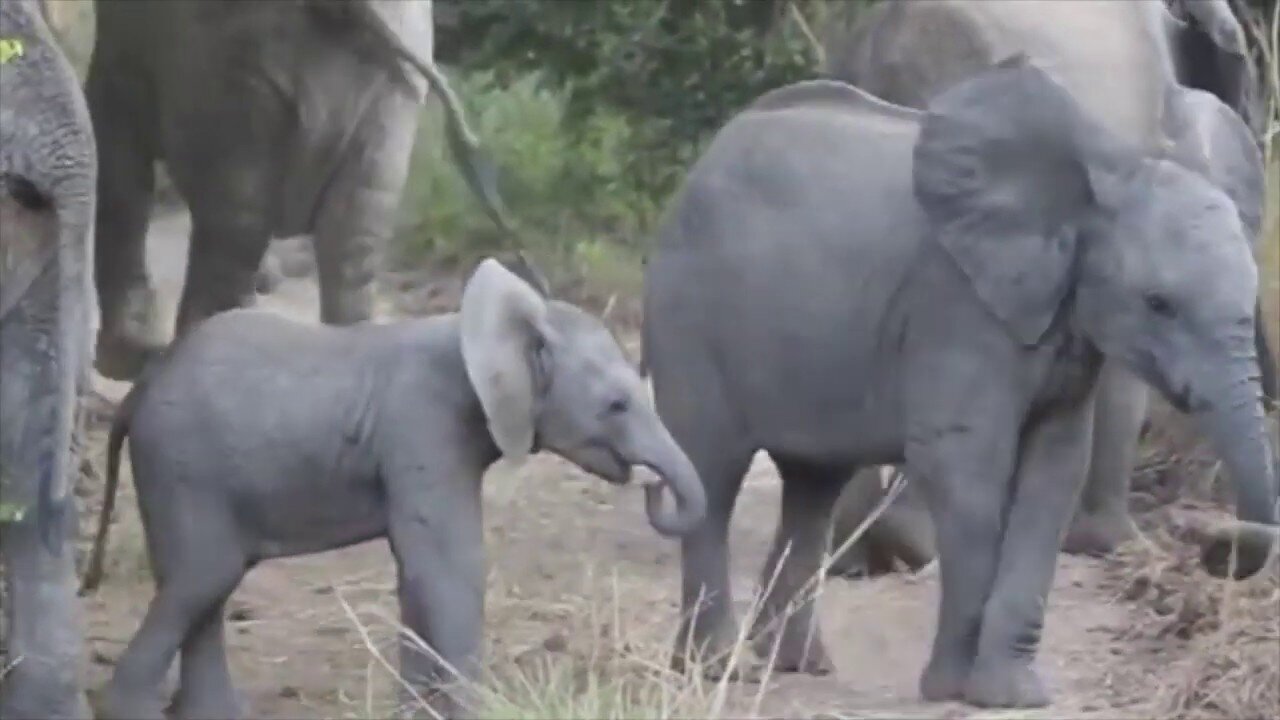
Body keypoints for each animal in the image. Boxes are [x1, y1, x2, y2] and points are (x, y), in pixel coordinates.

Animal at [83, 258, 706, 717]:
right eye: (617, 405)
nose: (649, 481)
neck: (478, 328)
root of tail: (139, 391)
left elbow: (416, 573)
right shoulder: (423, 424)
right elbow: (448, 566)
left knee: (208, 589)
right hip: (183, 467)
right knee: (202, 578)